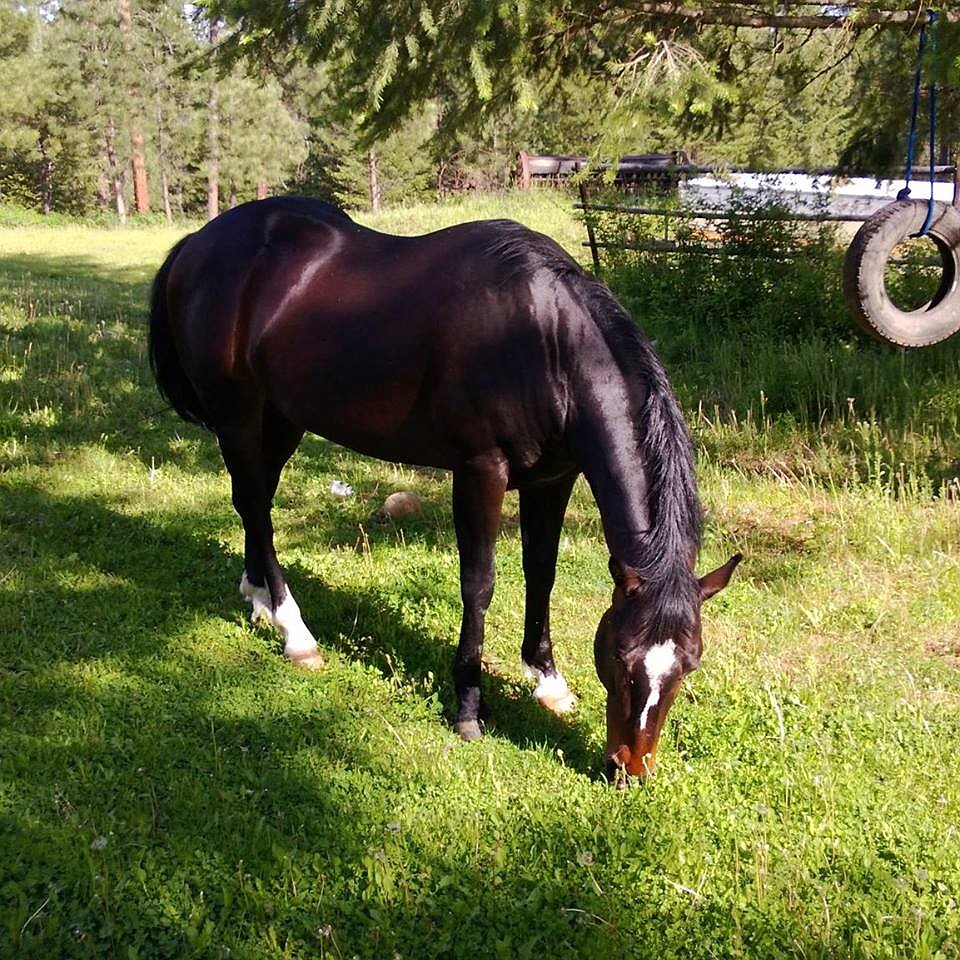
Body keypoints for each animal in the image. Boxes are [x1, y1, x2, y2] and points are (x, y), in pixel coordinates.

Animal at [146, 197, 740, 780]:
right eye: (620, 653)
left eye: (690, 662)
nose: (628, 768)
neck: (544, 344)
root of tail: (197, 244)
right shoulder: (480, 471)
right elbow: (479, 584)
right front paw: (470, 709)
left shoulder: (553, 479)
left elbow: (541, 573)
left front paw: (548, 682)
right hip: (237, 416)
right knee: (254, 503)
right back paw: (296, 633)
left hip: (282, 416)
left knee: (257, 502)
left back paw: (258, 599)